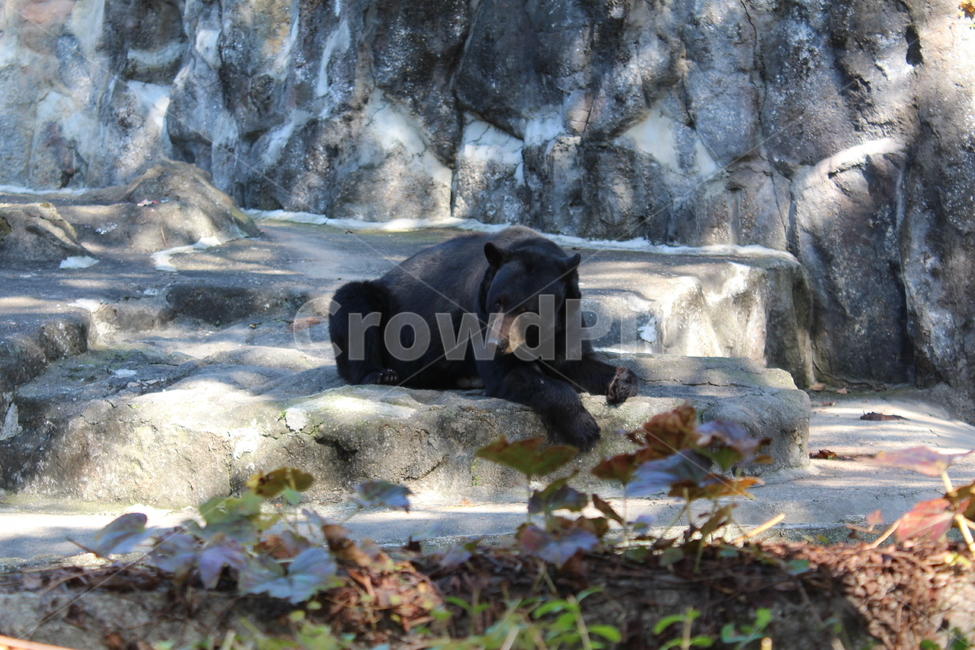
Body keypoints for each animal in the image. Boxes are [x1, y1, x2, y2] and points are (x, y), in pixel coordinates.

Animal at [328, 226, 639, 450]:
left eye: (528, 309)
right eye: (497, 302)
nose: (496, 344)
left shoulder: (568, 317)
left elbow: (575, 362)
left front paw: (621, 382)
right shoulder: (478, 314)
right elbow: (512, 374)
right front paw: (585, 428)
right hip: (385, 306)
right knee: (353, 303)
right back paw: (381, 374)